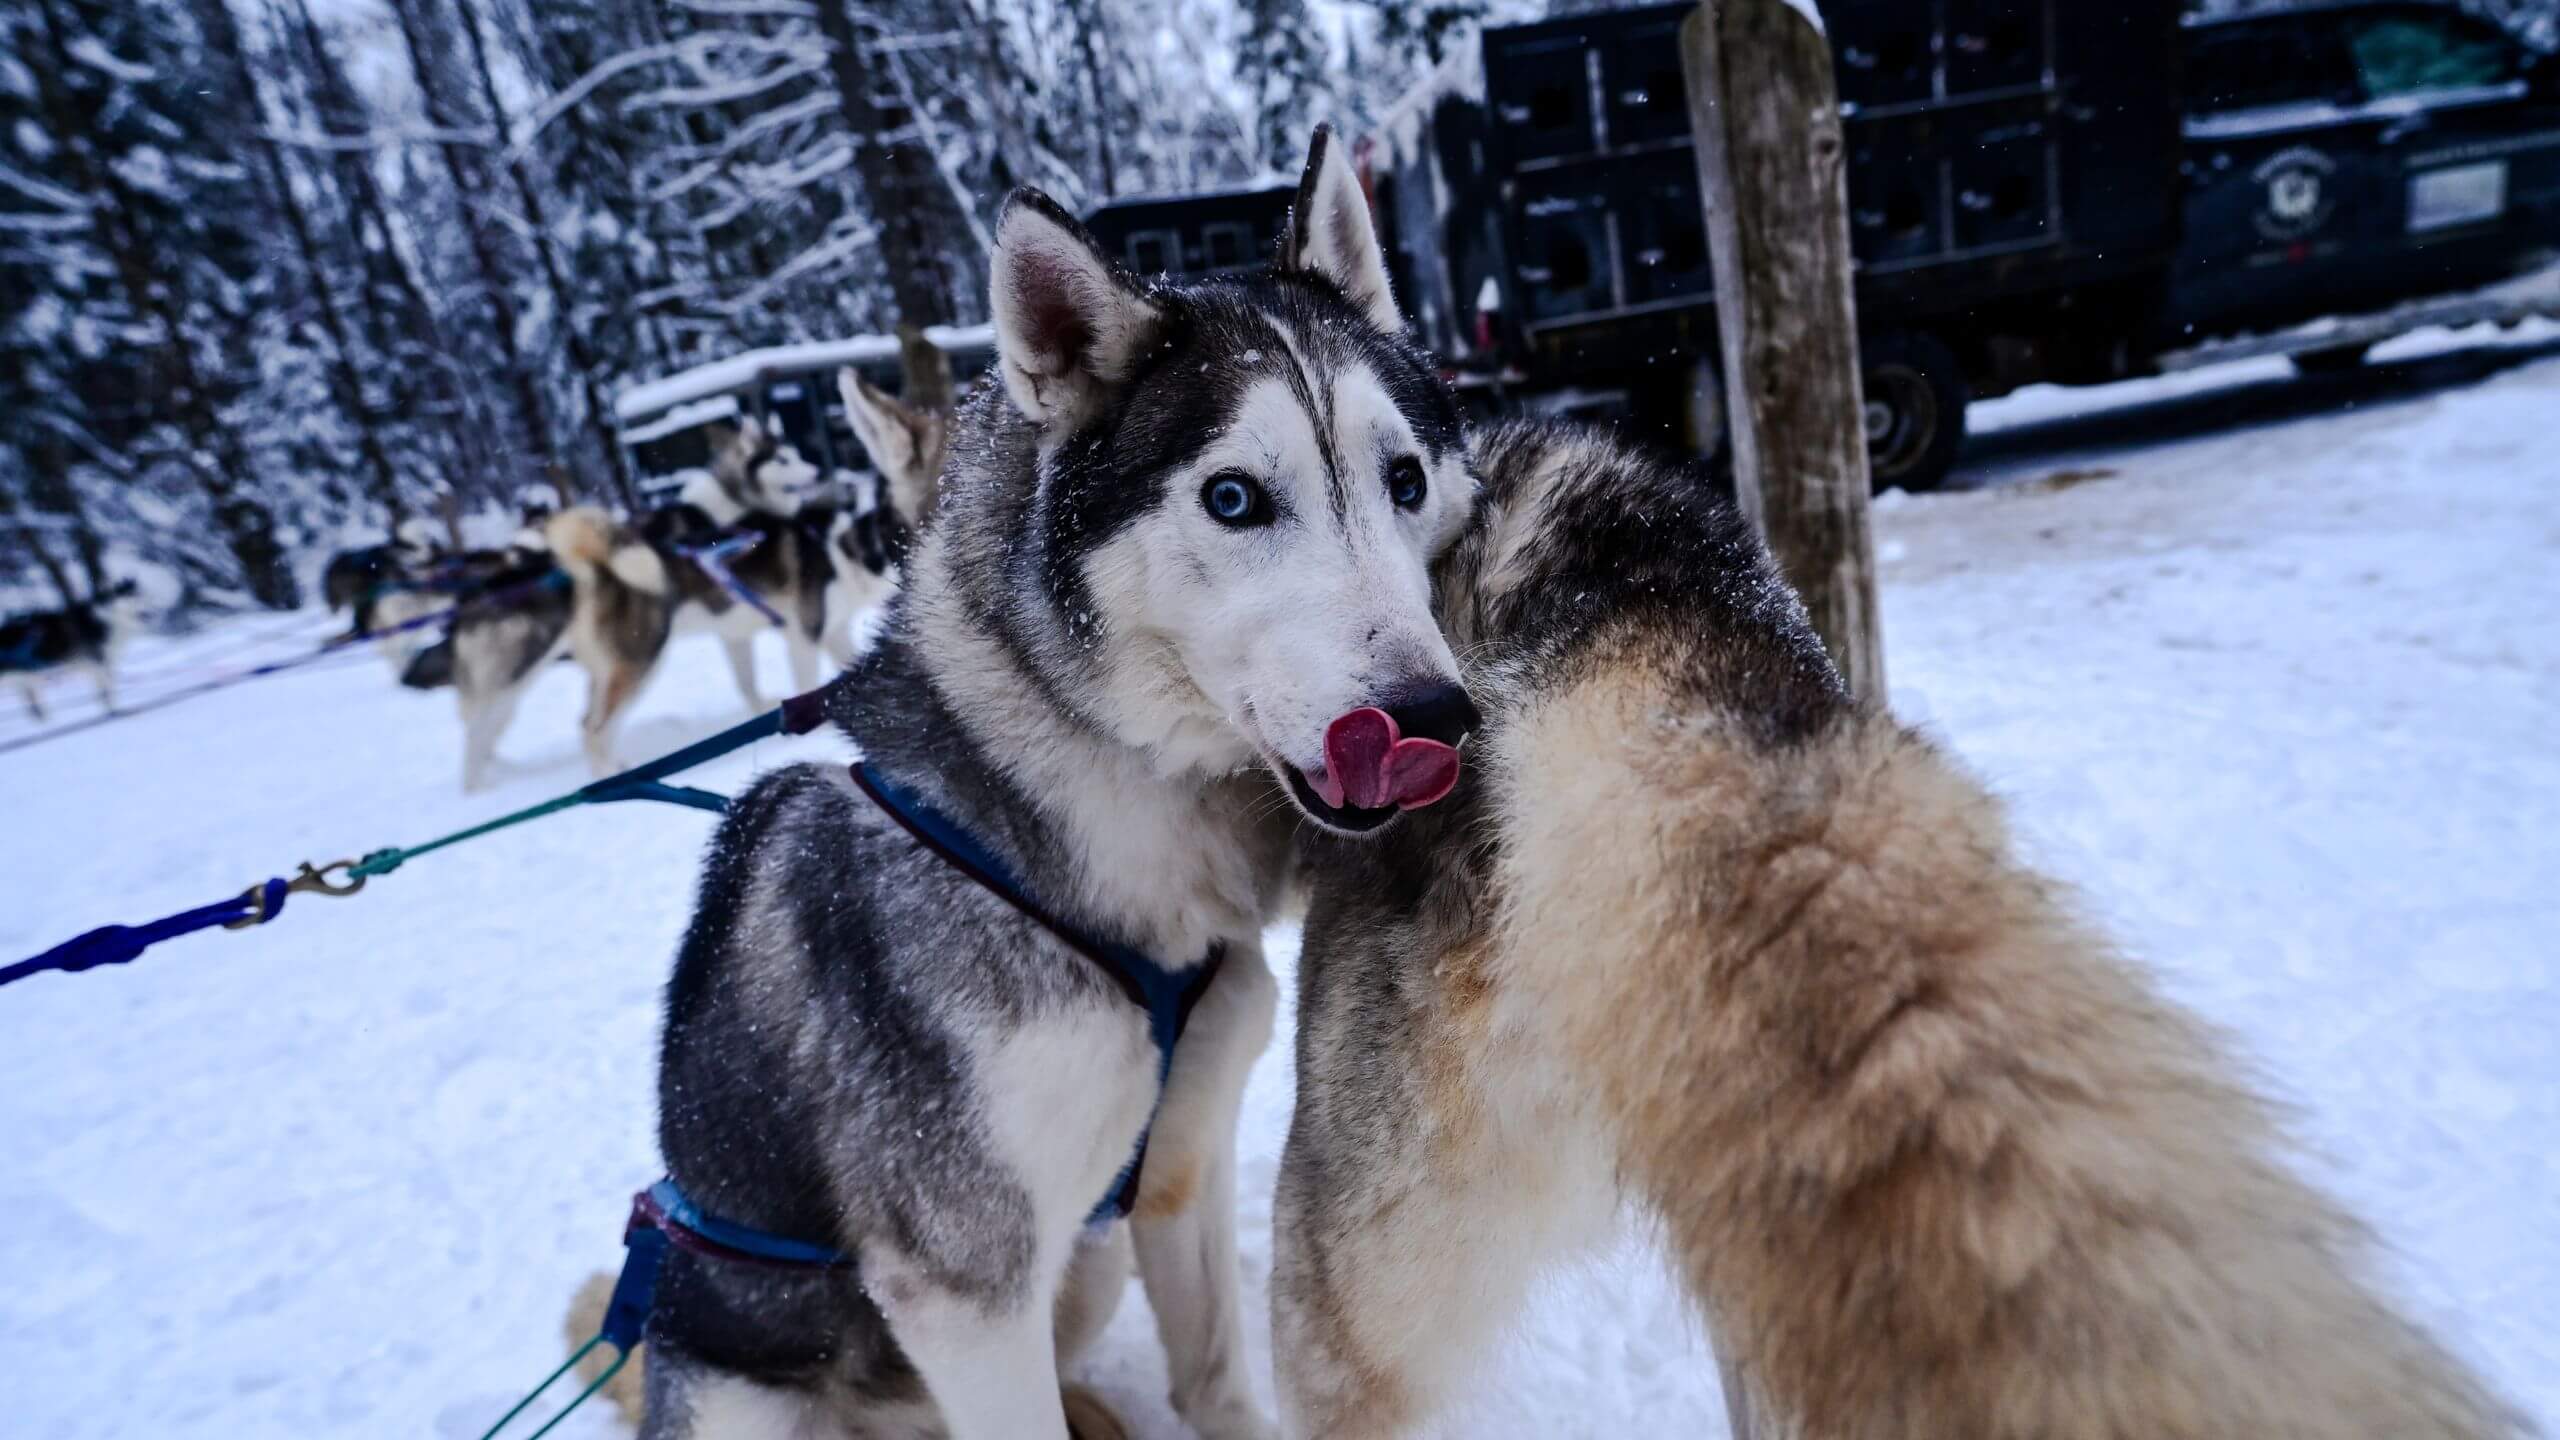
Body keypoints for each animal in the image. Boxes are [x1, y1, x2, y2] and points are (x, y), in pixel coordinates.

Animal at [606, 126, 1474, 1434]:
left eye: (1405, 480)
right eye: (1233, 498)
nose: (1434, 714)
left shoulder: (1177, 1170)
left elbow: (1215, 1376)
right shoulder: (968, 1290)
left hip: (1092, 1259)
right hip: (739, 1384)